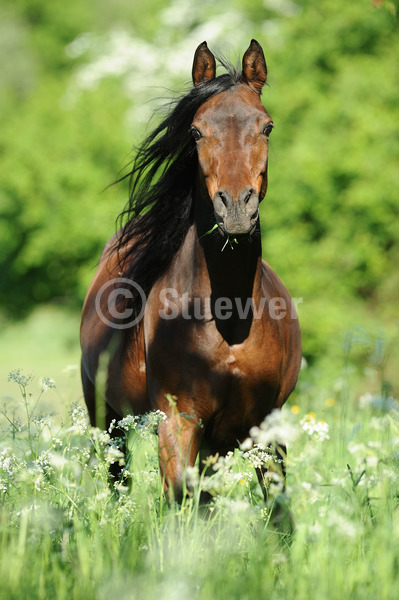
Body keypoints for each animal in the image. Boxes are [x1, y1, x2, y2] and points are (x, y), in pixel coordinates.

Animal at [79, 39, 302, 504]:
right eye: (196, 131)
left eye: (267, 127)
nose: (236, 208)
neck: (229, 317)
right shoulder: (178, 422)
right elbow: (184, 497)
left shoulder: (265, 429)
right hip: (104, 417)